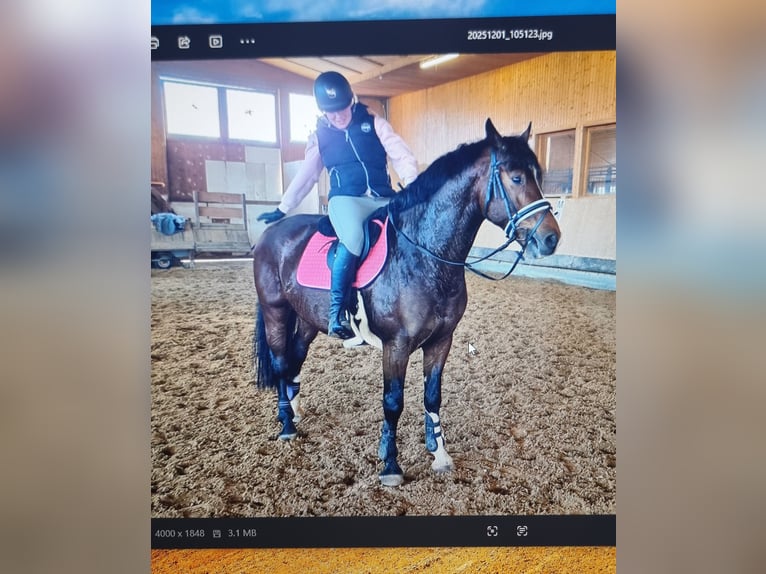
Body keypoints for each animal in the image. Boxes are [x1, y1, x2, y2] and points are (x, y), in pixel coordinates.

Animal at [252, 119, 561, 487]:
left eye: (537, 176)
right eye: (515, 178)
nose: (551, 238)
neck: (426, 255)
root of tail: (272, 233)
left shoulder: (442, 341)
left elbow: (432, 396)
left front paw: (439, 453)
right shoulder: (396, 346)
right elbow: (393, 402)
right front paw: (390, 465)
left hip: (308, 319)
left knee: (295, 360)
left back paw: (296, 410)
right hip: (276, 311)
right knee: (281, 362)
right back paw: (286, 424)